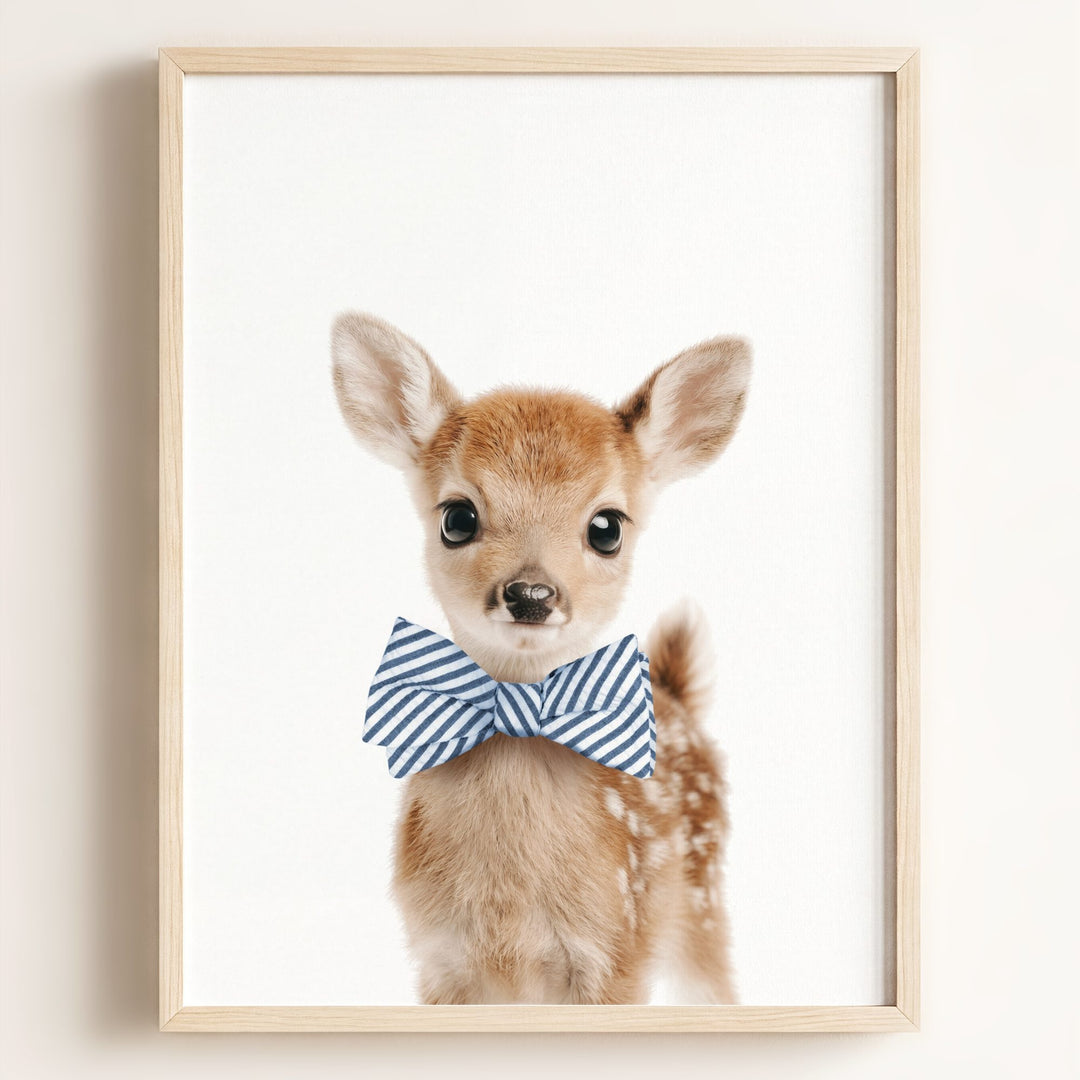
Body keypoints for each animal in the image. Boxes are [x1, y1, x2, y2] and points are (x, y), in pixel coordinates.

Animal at [332, 312, 751, 1005]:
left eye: (607, 527)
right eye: (457, 517)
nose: (531, 594)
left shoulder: (617, 952)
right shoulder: (438, 961)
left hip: (703, 904)